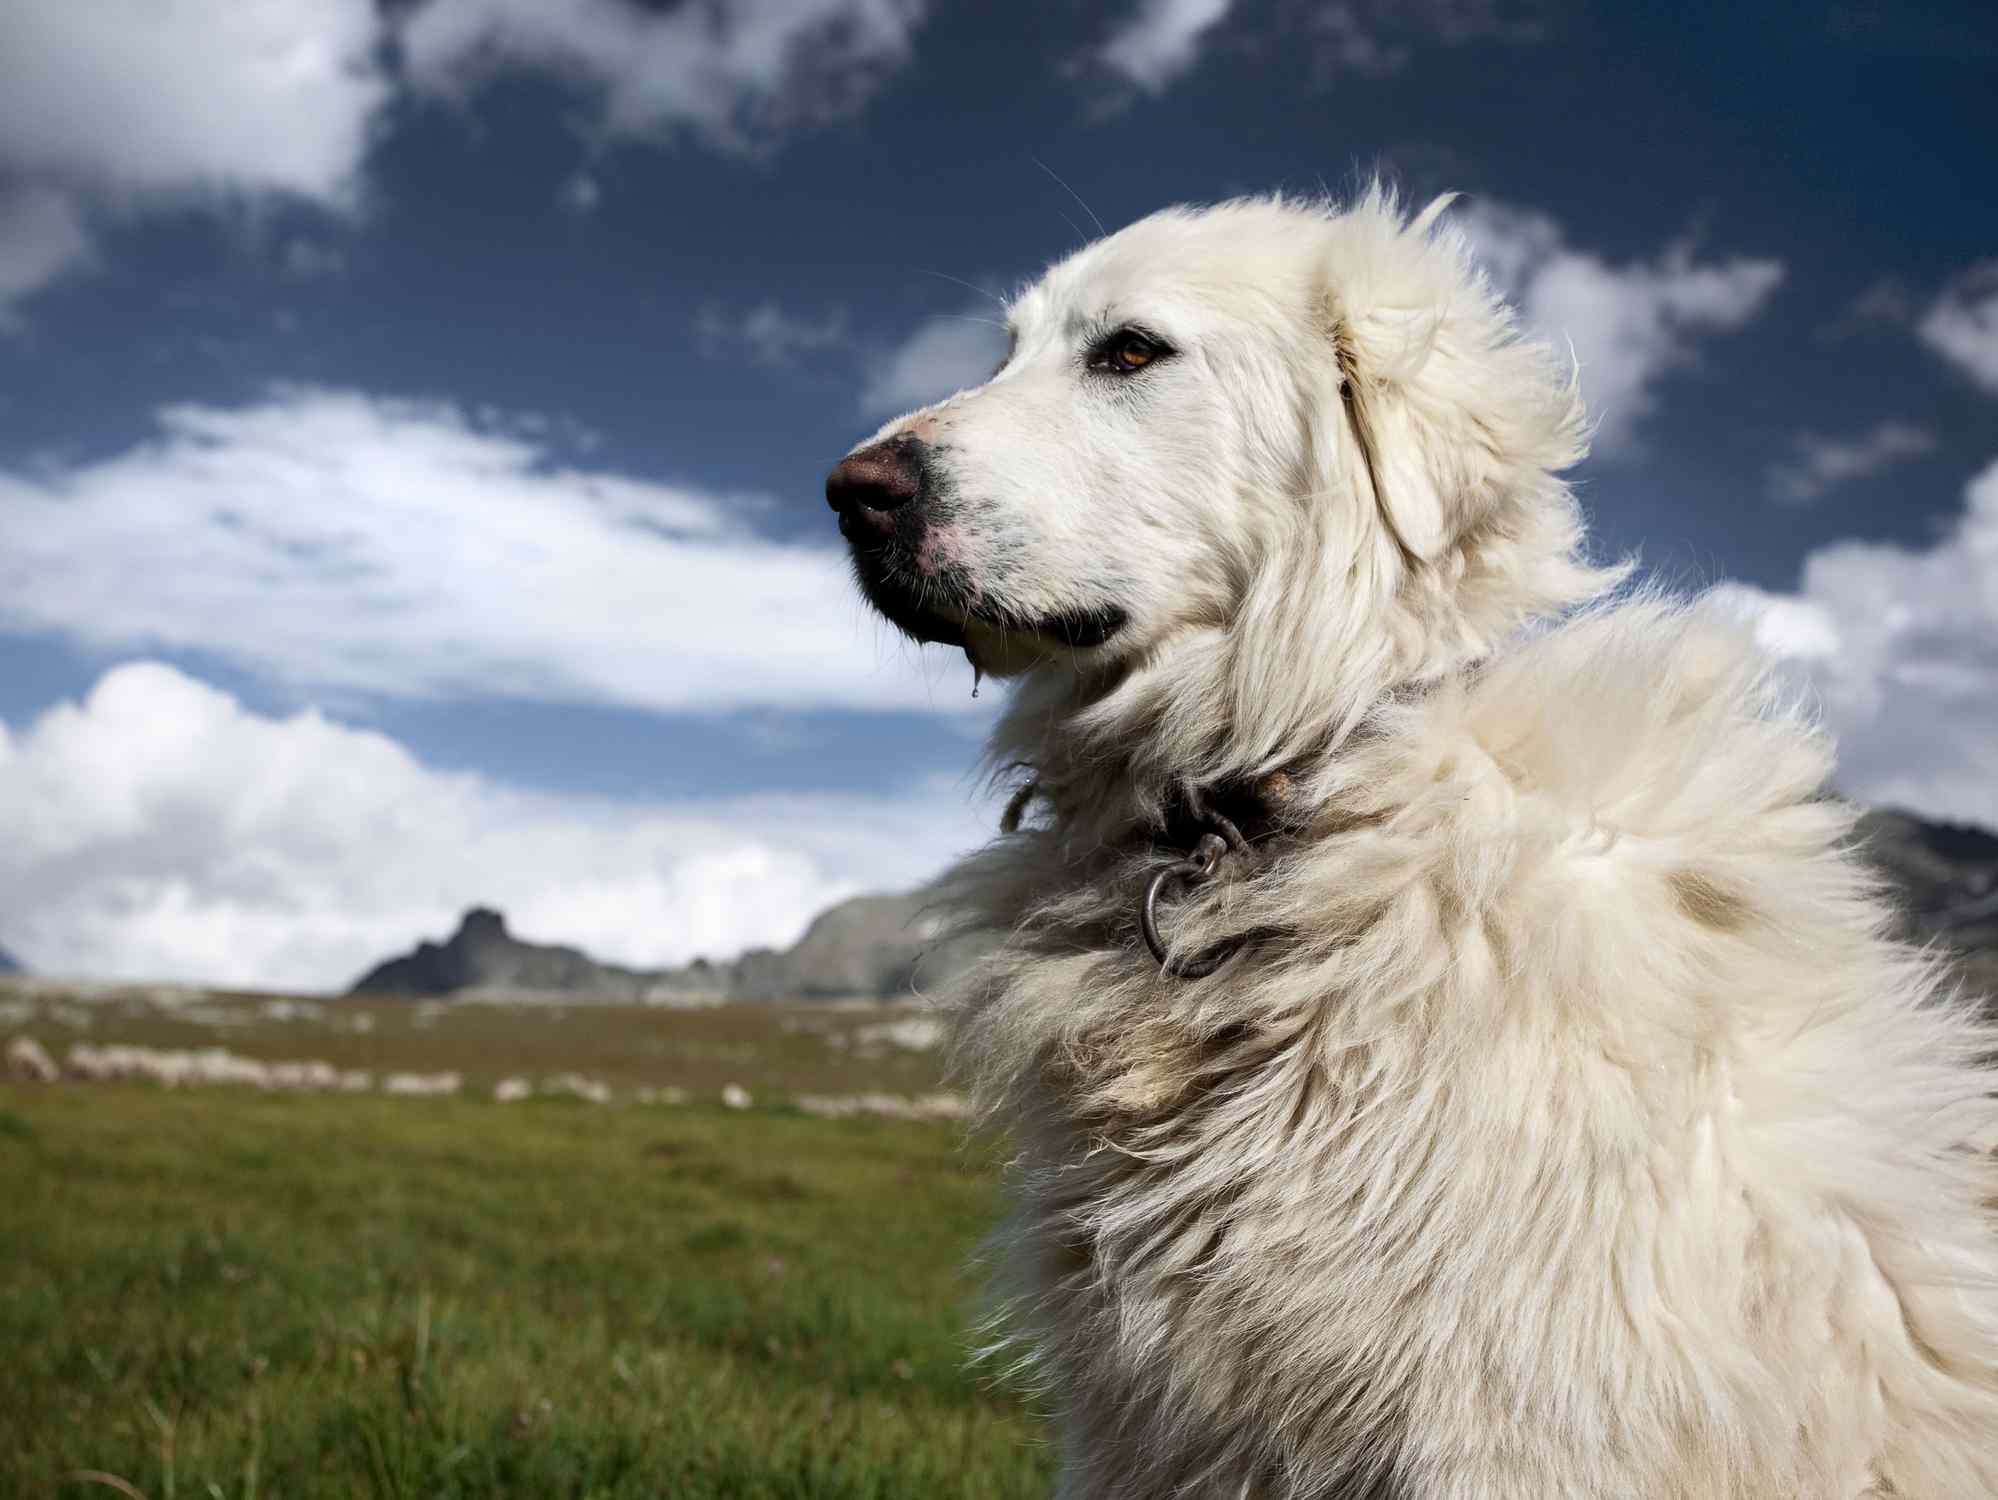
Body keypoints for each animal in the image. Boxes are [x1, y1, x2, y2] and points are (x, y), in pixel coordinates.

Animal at [823, 190, 1998, 1500]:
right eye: (1005, 353)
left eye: (1129, 350)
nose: (848, 491)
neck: (1304, 788)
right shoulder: (1150, 1429)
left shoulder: (1507, 1434)